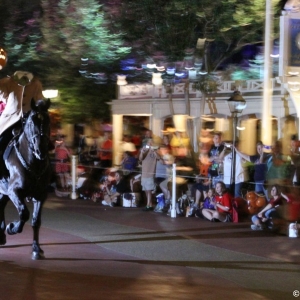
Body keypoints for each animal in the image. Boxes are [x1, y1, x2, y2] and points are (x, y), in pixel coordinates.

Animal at [0, 99, 51, 260]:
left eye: (48, 121)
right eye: (30, 122)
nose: (41, 150)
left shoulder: (40, 195)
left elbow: (35, 221)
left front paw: (36, 249)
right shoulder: (14, 191)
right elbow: (24, 213)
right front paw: (12, 228)